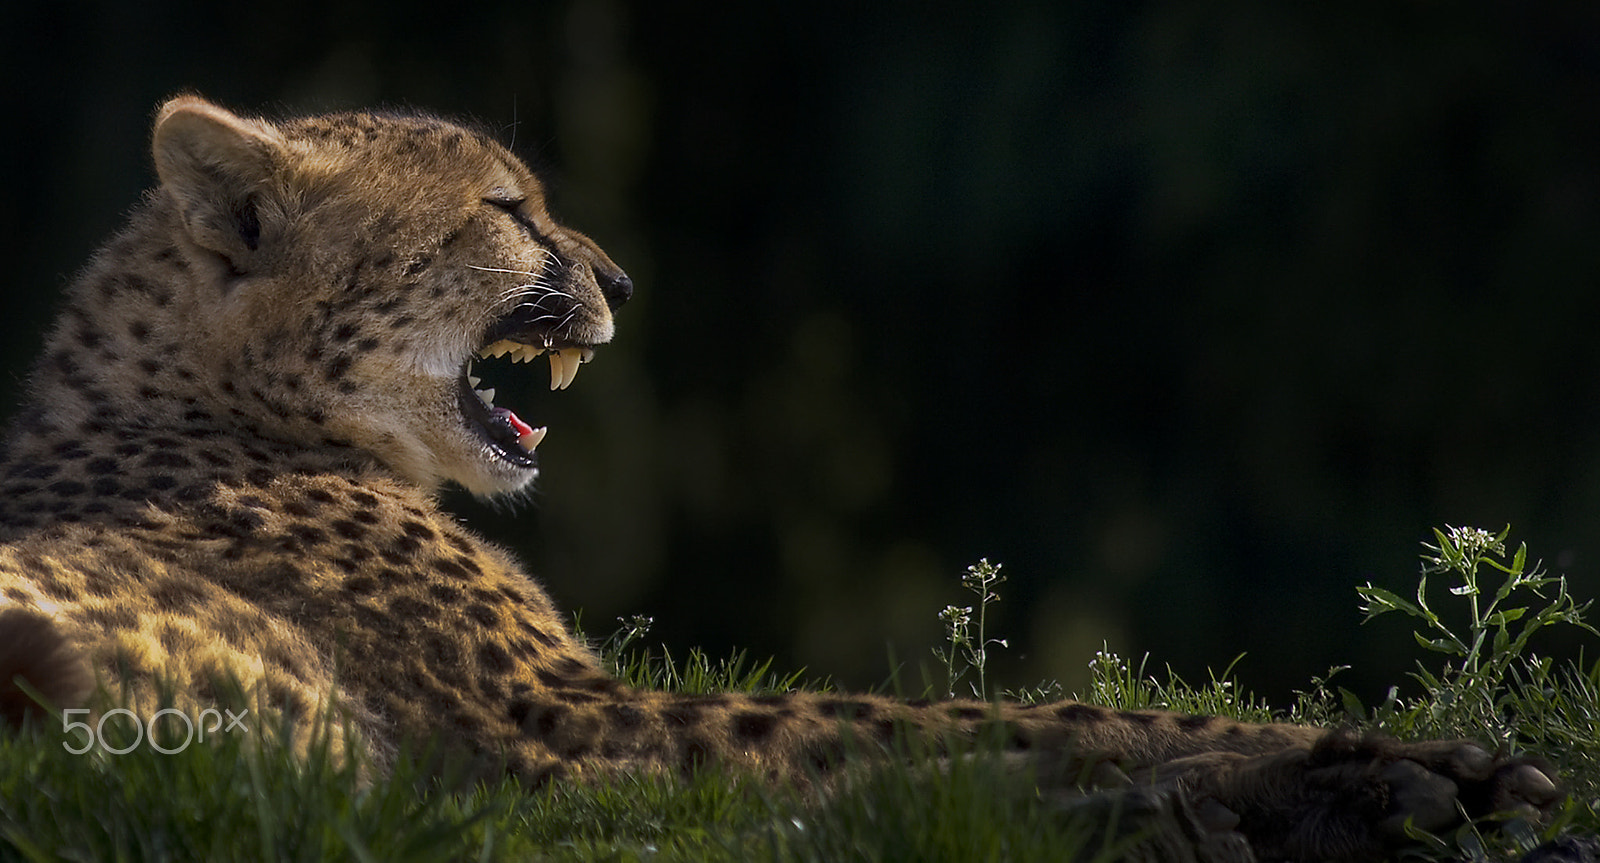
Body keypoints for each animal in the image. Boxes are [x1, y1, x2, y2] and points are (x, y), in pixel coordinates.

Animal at [0, 95, 1561, 861]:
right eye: (506, 211)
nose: (625, 281)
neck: (222, 403)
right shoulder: (553, 719)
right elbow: (975, 716)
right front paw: (1387, 758)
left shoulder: (558, 732)